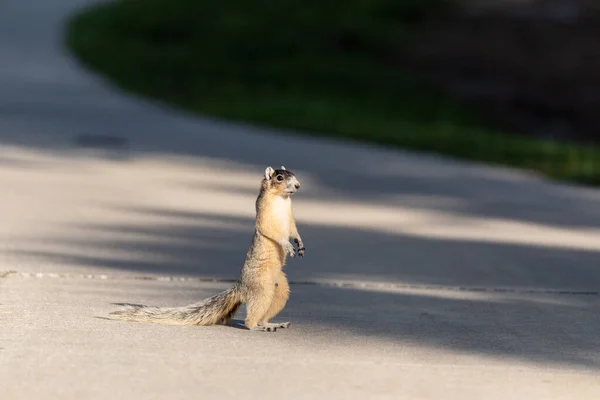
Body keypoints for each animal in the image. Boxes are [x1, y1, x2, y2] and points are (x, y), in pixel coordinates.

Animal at [104, 165, 304, 332]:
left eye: (293, 174)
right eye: (279, 177)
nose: (298, 185)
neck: (282, 199)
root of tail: (242, 287)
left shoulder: (290, 217)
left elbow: (293, 229)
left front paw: (300, 244)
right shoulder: (264, 215)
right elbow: (272, 231)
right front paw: (288, 246)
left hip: (281, 290)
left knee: (267, 311)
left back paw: (273, 323)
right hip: (263, 287)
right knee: (252, 316)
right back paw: (258, 327)